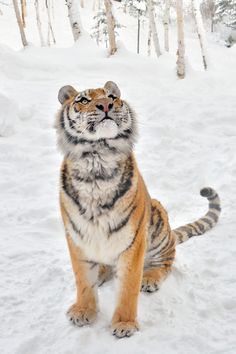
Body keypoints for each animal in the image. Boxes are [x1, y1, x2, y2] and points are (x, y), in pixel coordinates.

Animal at [55, 80, 221, 338]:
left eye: (112, 96)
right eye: (83, 100)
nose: (106, 104)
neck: (97, 160)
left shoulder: (132, 242)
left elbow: (128, 287)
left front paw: (124, 324)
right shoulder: (77, 237)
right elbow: (83, 280)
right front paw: (83, 311)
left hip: (158, 226)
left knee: (167, 260)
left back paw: (149, 279)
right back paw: (101, 273)